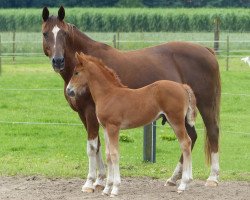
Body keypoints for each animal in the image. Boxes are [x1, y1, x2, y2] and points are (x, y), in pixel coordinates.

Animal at [66, 52, 197, 197]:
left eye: (76, 72)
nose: (69, 91)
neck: (108, 94)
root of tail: (182, 86)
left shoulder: (114, 127)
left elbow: (115, 154)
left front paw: (115, 188)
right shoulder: (105, 128)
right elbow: (108, 155)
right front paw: (107, 188)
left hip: (176, 120)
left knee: (185, 143)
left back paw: (183, 184)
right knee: (187, 142)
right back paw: (187, 182)